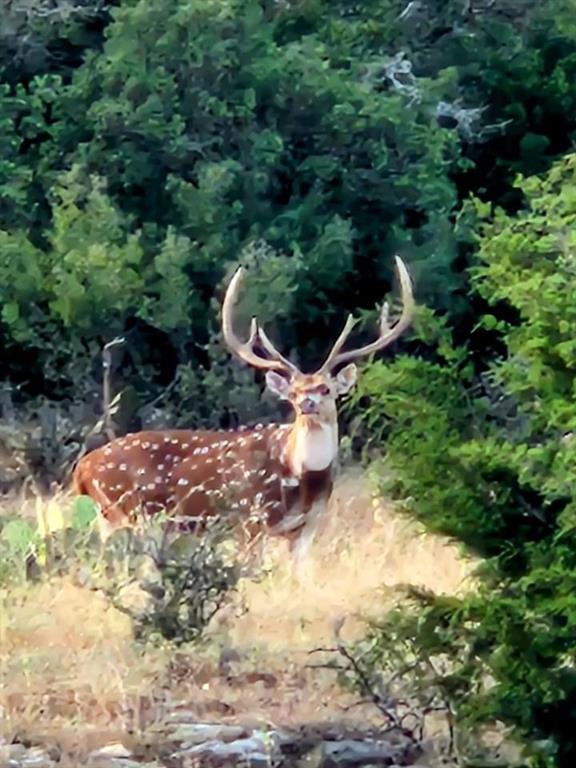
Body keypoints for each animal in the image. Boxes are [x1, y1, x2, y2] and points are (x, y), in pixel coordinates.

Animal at [72, 258, 414, 564]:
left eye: (325, 389)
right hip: (129, 512)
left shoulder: (307, 526)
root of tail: (83, 469)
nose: (307, 404)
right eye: (292, 394)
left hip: (112, 518)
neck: (301, 476)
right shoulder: (250, 518)